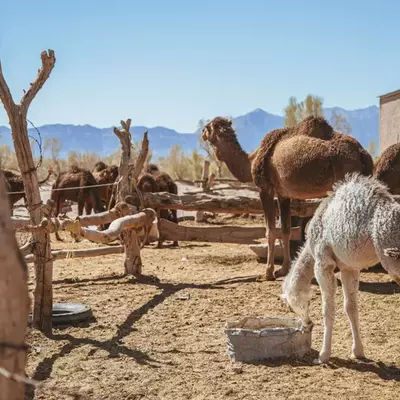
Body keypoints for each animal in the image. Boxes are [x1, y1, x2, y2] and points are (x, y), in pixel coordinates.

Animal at [202, 114, 374, 280]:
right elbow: (286, 230)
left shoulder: (265, 190)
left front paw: (268, 273)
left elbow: (270, 231)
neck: (251, 161)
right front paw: (283, 269)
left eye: (207, 127)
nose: (202, 133)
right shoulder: (283, 194)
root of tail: (363, 154)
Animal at [282, 173, 400, 364]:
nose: (308, 324)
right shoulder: (349, 268)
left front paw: (323, 356)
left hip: (392, 258)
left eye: (292, 307)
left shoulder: (323, 263)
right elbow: (351, 307)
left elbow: (328, 309)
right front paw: (358, 352)